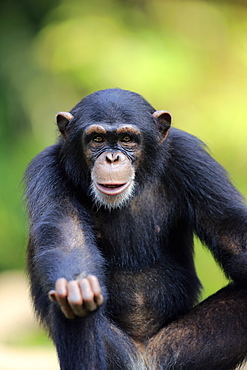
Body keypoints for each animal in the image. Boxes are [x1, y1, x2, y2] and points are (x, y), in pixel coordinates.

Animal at [24, 89, 247, 370]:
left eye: (127, 139)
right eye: (97, 139)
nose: (112, 157)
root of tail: (145, 357)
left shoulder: (192, 159)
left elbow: (230, 232)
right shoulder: (47, 171)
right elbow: (69, 239)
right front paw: (78, 285)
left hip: (181, 352)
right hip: (120, 357)